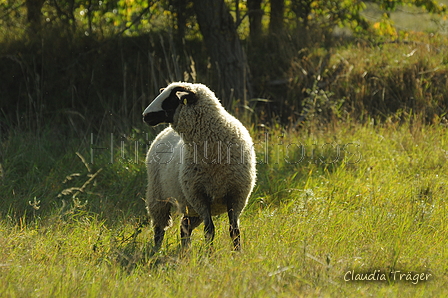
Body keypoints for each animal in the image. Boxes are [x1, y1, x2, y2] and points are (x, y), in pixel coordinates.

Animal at [144, 82, 256, 251]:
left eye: (170, 100)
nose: (145, 116)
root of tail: (165, 131)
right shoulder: (199, 196)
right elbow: (209, 230)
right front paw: (209, 254)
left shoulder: (236, 194)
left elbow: (234, 231)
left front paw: (237, 253)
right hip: (158, 196)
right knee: (159, 228)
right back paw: (156, 251)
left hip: (189, 206)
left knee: (184, 226)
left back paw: (185, 251)